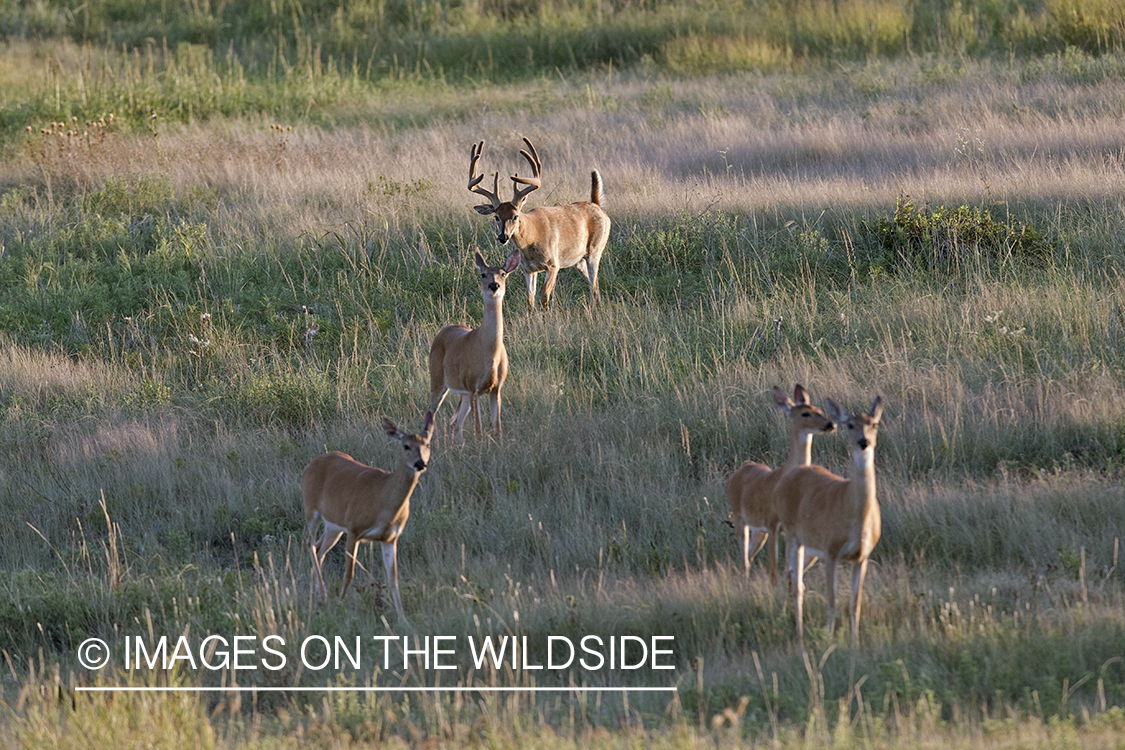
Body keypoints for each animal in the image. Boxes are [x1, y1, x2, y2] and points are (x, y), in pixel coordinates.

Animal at [301, 413, 432, 620]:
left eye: (427, 444)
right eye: (406, 446)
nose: (420, 463)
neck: (383, 501)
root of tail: (308, 466)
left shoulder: (390, 538)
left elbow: (393, 579)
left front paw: (403, 619)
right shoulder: (354, 528)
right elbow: (349, 574)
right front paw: (340, 605)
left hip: (334, 525)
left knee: (319, 548)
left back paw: (319, 597)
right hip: (311, 509)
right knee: (309, 543)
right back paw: (322, 596)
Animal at [427, 251, 519, 440]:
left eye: (503, 274)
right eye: (483, 274)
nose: (494, 285)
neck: (490, 353)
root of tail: (443, 330)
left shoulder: (496, 388)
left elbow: (497, 429)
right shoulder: (472, 385)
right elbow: (478, 431)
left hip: (463, 393)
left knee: (456, 422)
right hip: (438, 378)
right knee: (431, 412)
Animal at [465, 136, 612, 310]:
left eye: (515, 216)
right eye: (496, 217)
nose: (502, 237)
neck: (532, 237)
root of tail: (597, 205)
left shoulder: (553, 264)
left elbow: (544, 297)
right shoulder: (528, 269)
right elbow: (530, 300)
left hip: (595, 250)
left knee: (594, 285)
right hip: (579, 261)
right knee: (594, 285)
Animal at [729, 386, 837, 584]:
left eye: (819, 409)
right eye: (805, 413)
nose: (830, 424)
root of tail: (733, 476)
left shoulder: (786, 529)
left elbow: (790, 569)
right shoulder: (772, 523)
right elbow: (774, 571)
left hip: (759, 531)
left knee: (748, 557)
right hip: (740, 517)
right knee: (743, 560)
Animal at [778, 395, 882, 647]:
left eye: (874, 424)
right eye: (850, 425)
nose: (864, 442)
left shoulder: (862, 557)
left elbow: (855, 604)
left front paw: (855, 643)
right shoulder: (832, 551)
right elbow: (832, 600)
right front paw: (829, 639)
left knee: (795, 579)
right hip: (792, 534)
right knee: (796, 583)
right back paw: (800, 635)